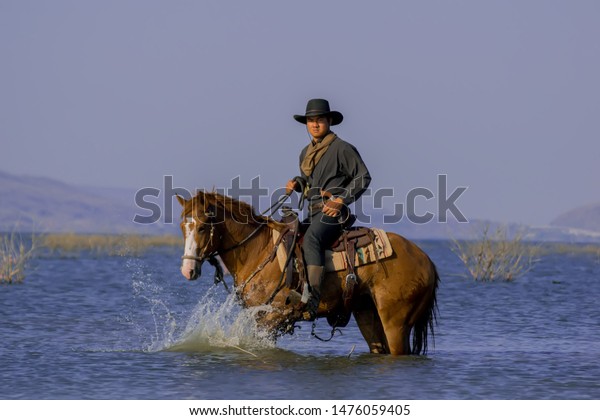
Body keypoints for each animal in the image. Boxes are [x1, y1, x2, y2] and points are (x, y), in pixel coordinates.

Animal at [176, 192, 438, 356]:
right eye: (182, 227)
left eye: (202, 227)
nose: (187, 270)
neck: (258, 250)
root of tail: (426, 261)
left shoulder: (274, 317)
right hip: (366, 313)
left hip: (396, 323)